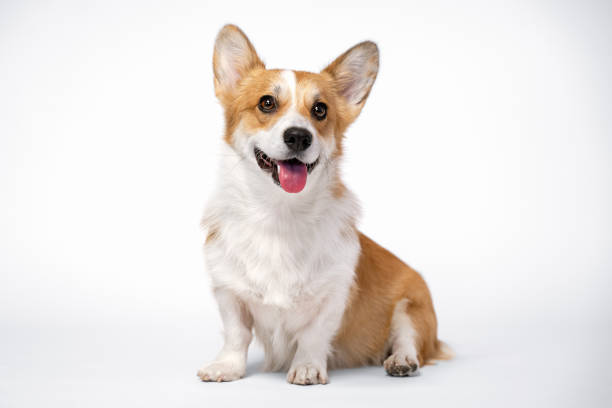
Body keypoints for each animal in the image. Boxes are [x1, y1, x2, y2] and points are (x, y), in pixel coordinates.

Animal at [200, 23, 450, 384]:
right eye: (266, 103)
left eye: (320, 110)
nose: (298, 136)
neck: (280, 212)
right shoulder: (229, 291)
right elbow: (236, 334)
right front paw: (227, 367)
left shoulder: (333, 295)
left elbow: (313, 335)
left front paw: (307, 367)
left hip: (412, 306)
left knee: (408, 338)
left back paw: (402, 360)